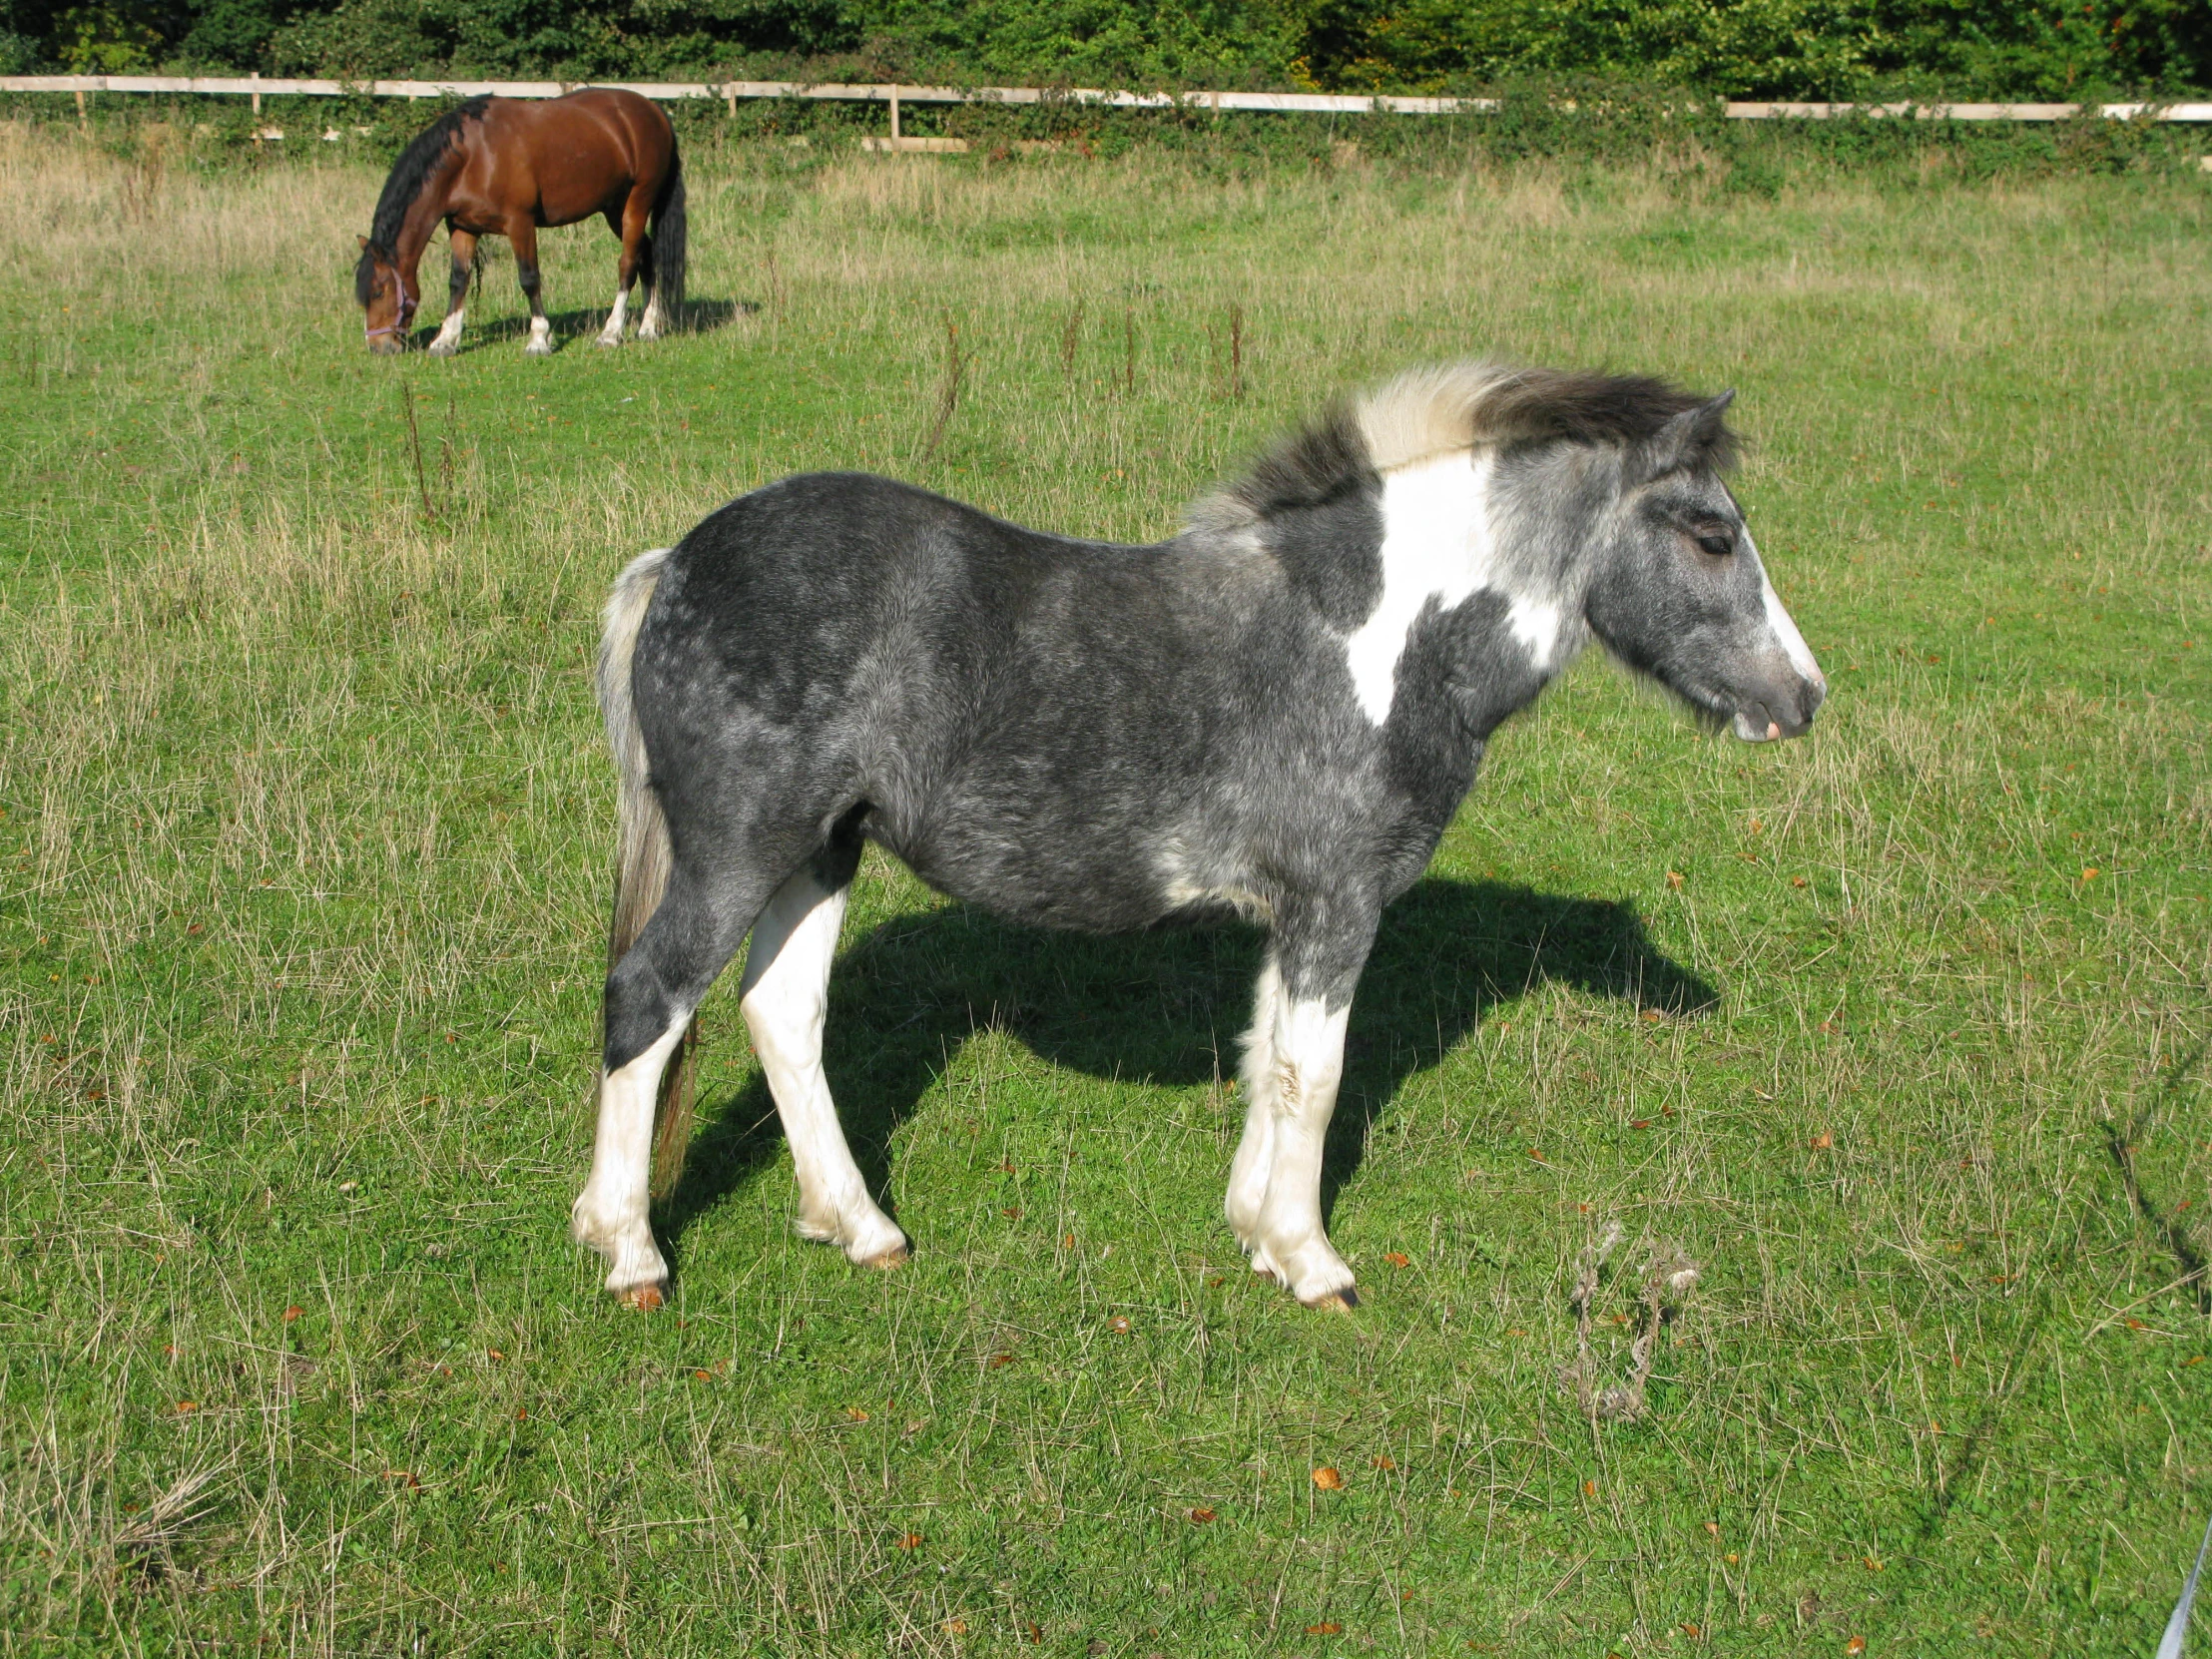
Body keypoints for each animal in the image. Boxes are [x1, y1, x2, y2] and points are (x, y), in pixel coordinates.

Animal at [355, 90, 681, 357]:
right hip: (614, 209)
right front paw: (446, 340)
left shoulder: (520, 223)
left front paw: (538, 340)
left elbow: (529, 278)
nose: (379, 347)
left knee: (628, 264)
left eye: (379, 292)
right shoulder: (462, 228)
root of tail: (654, 110)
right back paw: (647, 327)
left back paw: (611, 332)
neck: (474, 156)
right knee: (646, 255)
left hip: (636, 204)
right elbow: (458, 280)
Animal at [575, 362, 1831, 1309]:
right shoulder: (1337, 902)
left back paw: (859, 1227)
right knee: (649, 998)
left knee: (781, 1014)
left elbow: (1266, 1056)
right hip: (739, 849)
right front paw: (1313, 1262)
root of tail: (674, 564)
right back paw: (629, 1251)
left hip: (821, 849)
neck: (1375, 643)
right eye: (1710, 535)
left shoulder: (1296, 910)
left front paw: (1255, 1233)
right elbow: (1314, 1074)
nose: (1802, 695)